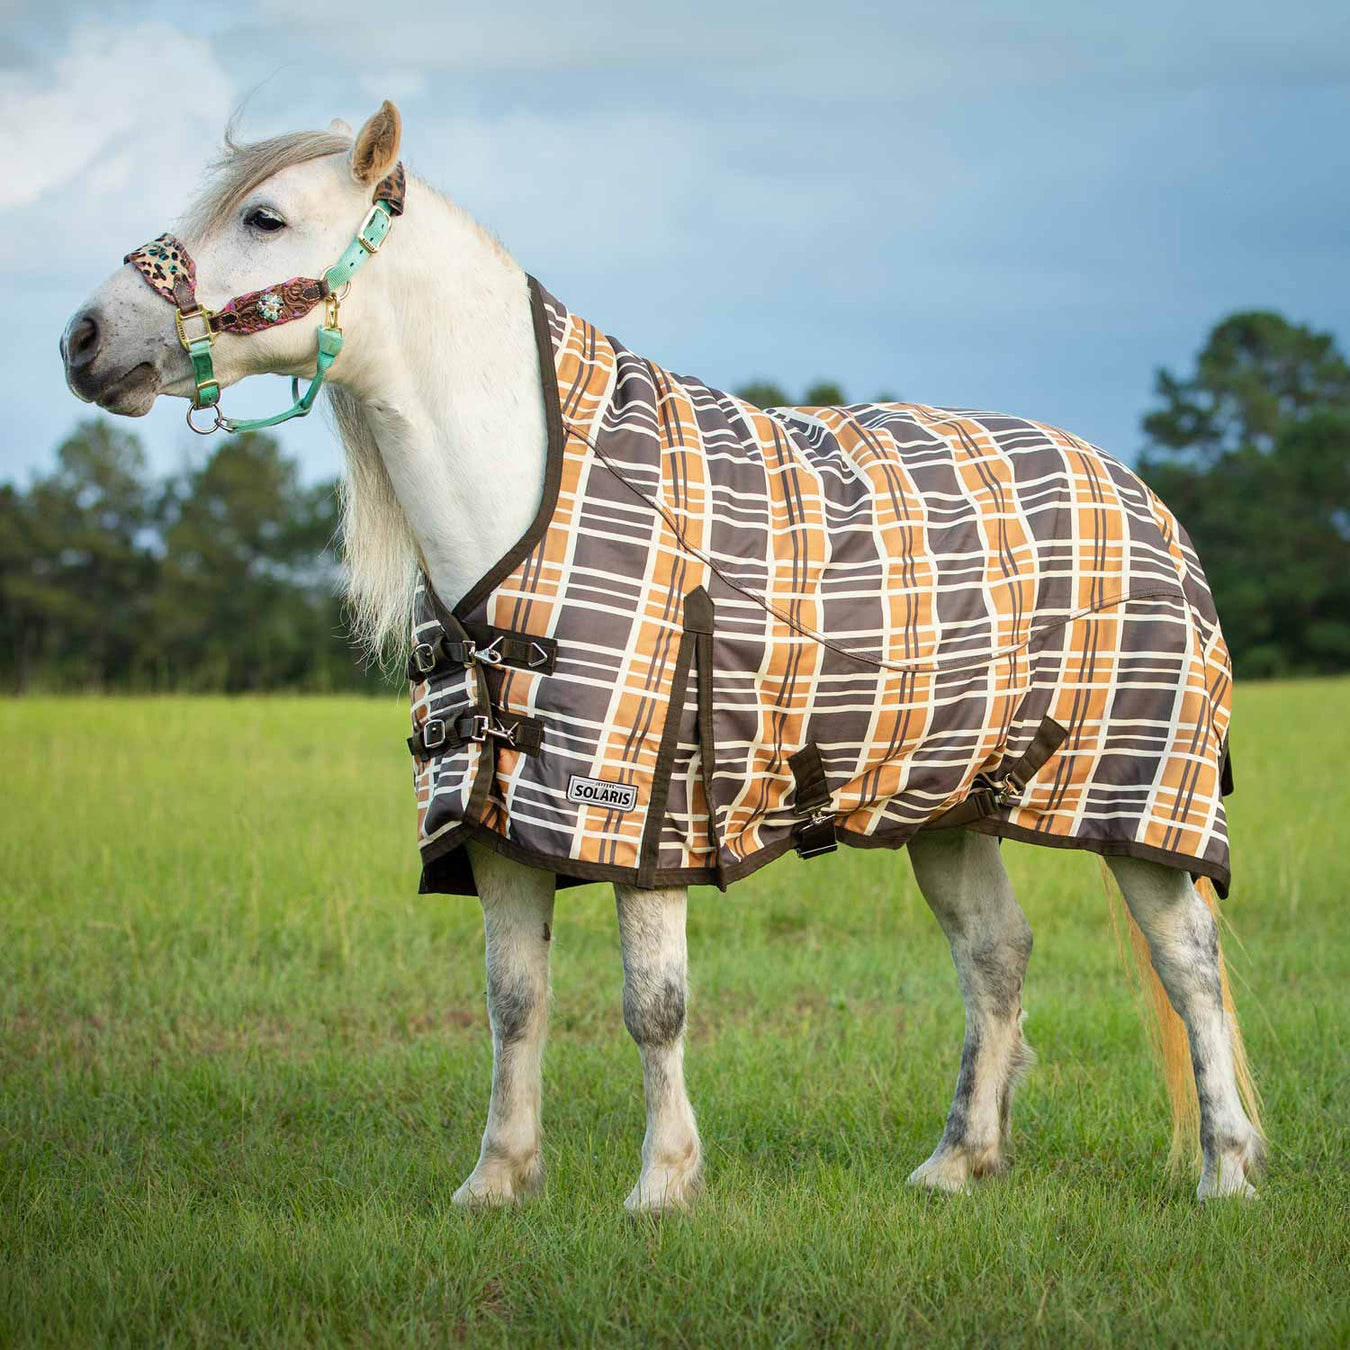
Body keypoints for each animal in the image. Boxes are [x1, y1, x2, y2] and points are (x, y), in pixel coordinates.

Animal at [63, 99, 1263, 1209]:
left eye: (264, 217)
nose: (83, 338)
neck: (531, 499)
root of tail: (1138, 491)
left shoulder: (644, 818)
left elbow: (653, 1004)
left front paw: (663, 1186)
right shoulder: (501, 825)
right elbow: (513, 1001)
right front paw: (498, 1181)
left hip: (1143, 802)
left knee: (1190, 964)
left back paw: (1227, 1169)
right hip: (948, 804)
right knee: (996, 956)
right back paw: (959, 1162)